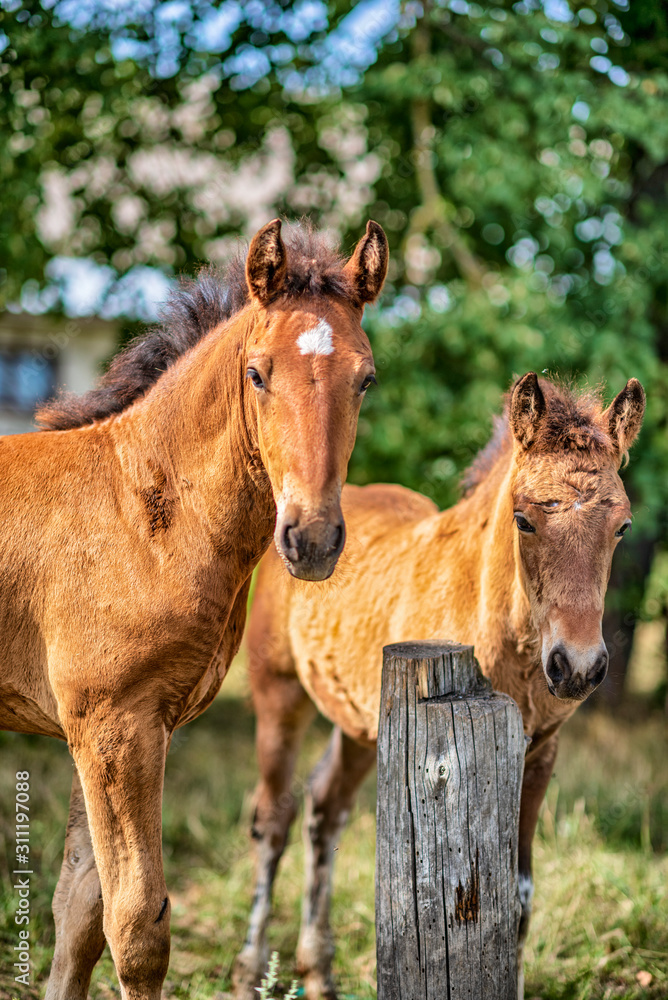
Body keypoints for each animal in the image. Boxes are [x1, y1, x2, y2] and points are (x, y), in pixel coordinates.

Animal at [0, 219, 388, 1000]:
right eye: (257, 373)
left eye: (366, 378)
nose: (312, 539)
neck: (136, 510)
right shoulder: (115, 726)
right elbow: (137, 926)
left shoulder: (106, 727)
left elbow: (78, 913)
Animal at [237, 374, 644, 1000]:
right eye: (523, 519)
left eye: (622, 526)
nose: (577, 667)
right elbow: (436, 894)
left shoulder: (540, 752)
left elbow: (519, 898)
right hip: (278, 695)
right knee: (272, 820)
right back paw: (251, 967)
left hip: (359, 724)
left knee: (325, 809)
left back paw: (318, 970)